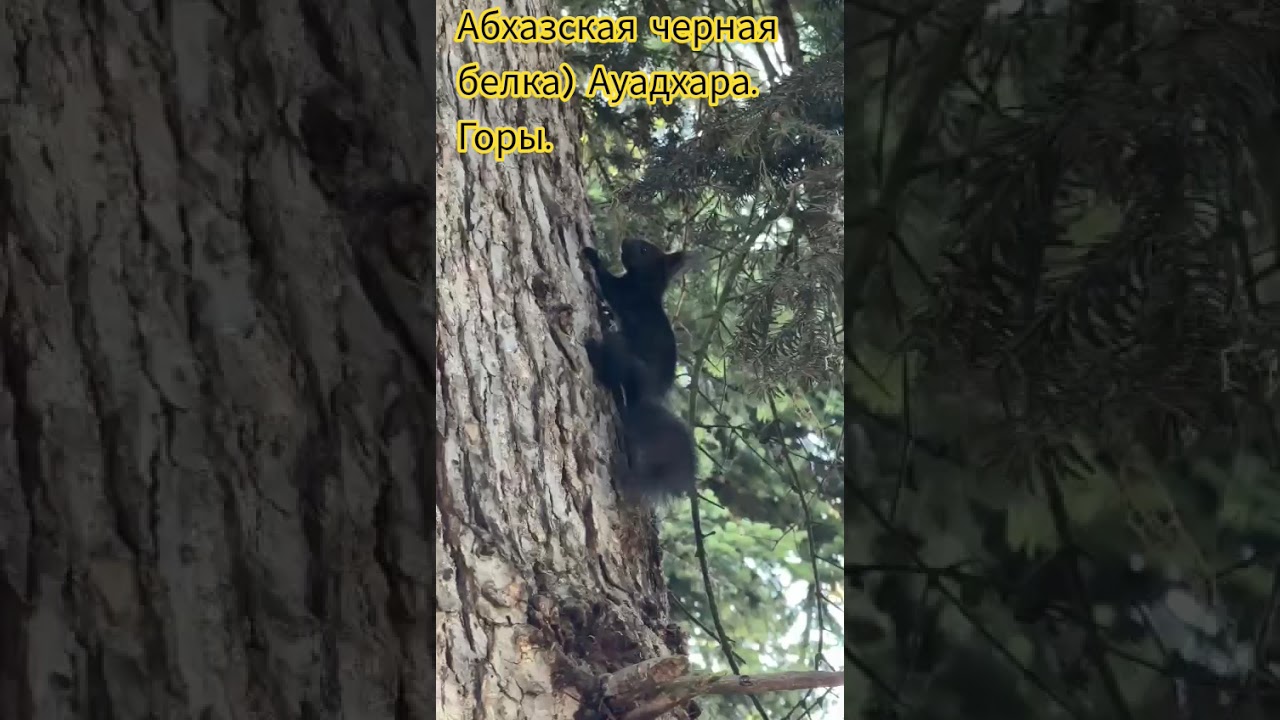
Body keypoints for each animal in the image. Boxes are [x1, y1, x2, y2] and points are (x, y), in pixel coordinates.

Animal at [582, 239, 696, 500]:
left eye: (644, 249)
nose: (626, 241)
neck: (644, 286)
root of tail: (645, 397)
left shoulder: (624, 293)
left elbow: (607, 282)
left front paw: (592, 256)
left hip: (625, 355)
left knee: (613, 373)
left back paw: (595, 353)